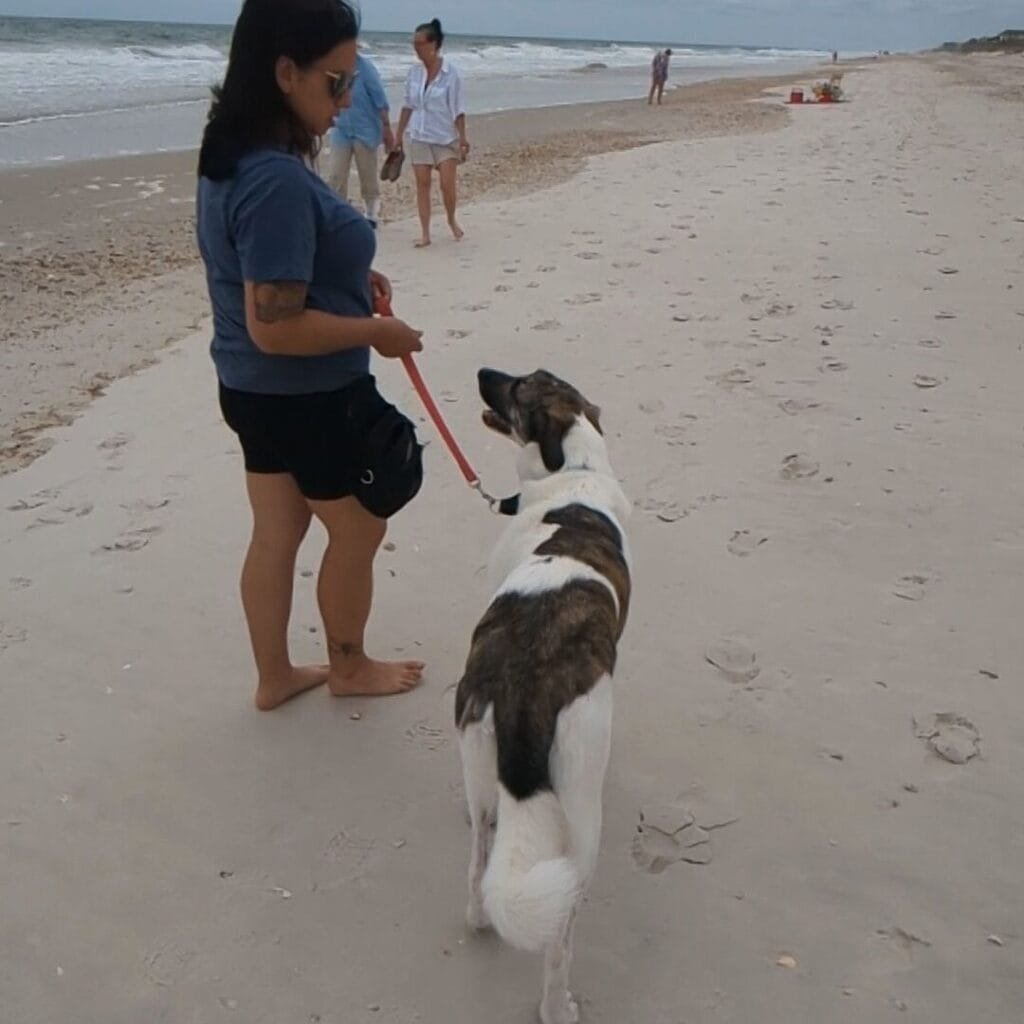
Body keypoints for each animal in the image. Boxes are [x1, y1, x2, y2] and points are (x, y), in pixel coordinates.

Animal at [456, 368, 630, 1024]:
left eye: (518, 388)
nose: (483, 371)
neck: (571, 473)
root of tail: (521, 688)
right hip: (583, 813)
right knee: (560, 937)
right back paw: (557, 1005)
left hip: (476, 759)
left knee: (480, 864)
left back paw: (478, 916)